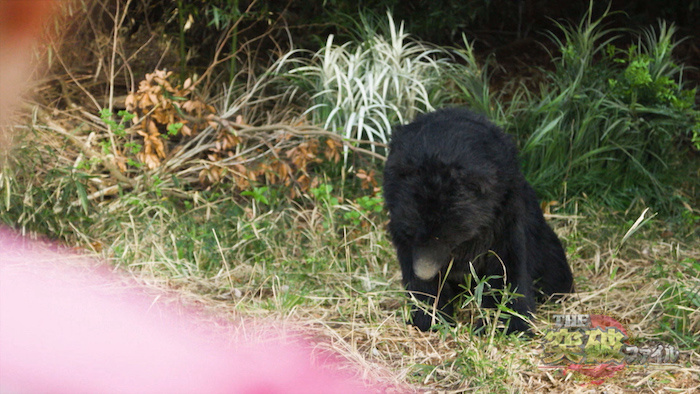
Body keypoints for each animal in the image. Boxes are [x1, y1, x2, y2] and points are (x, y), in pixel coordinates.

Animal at [382, 107, 576, 332]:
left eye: (447, 238)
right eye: (410, 233)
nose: (425, 273)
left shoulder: (505, 211)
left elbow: (507, 263)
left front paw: (508, 323)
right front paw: (429, 317)